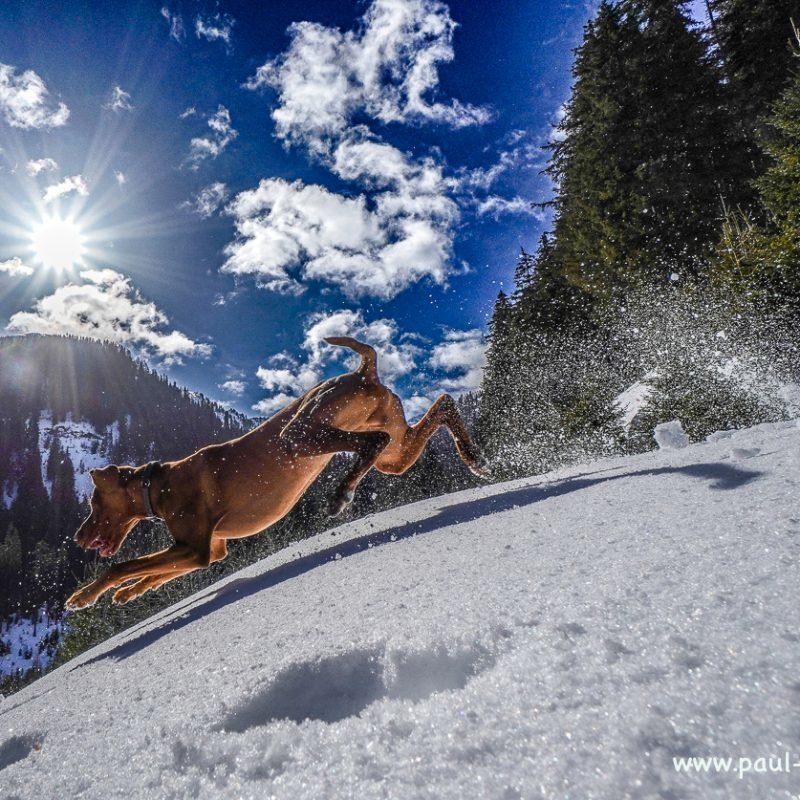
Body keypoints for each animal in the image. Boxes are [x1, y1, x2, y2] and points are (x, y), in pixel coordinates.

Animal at [64, 334, 488, 608]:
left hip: (298, 434)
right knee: (442, 404)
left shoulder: (195, 547)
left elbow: (121, 566)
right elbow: (152, 574)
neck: (159, 484)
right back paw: (473, 456)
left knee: (373, 442)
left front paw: (85, 595)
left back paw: (342, 493)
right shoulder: (209, 550)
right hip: (394, 452)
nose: (78, 537)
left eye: (94, 503)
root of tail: (363, 372)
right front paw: (129, 593)